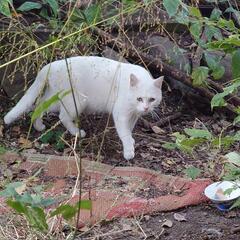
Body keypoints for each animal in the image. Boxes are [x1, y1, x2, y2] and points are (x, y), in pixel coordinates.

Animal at [4, 56, 163, 159]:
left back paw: (38, 126)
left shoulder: (133, 115)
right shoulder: (121, 113)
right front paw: (129, 151)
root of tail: (49, 66)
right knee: (62, 116)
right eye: (139, 98)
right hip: (77, 102)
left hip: (55, 98)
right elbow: (125, 133)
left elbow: (129, 130)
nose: (146, 108)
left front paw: (131, 141)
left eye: (152, 99)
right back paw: (77, 132)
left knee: (39, 105)